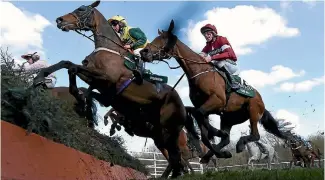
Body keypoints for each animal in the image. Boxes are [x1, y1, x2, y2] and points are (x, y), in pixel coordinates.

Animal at [33, 1, 196, 178]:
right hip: (159, 135)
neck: (109, 49)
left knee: (178, 159)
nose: (59, 20)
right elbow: (69, 66)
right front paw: (45, 78)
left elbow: (73, 68)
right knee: (176, 160)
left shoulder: (105, 78)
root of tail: (183, 106)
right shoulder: (96, 81)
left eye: (81, 9)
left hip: (170, 132)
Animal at [139, 19, 292, 163]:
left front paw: (215, 134)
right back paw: (216, 152)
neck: (199, 73)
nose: (143, 52)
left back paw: (239, 144)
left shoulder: (217, 101)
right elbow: (202, 129)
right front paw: (217, 147)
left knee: (255, 135)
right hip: (228, 118)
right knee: (227, 139)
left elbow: (199, 115)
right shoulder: (206, 108)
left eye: (163, 39)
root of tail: (261, 100)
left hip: (253, 111)